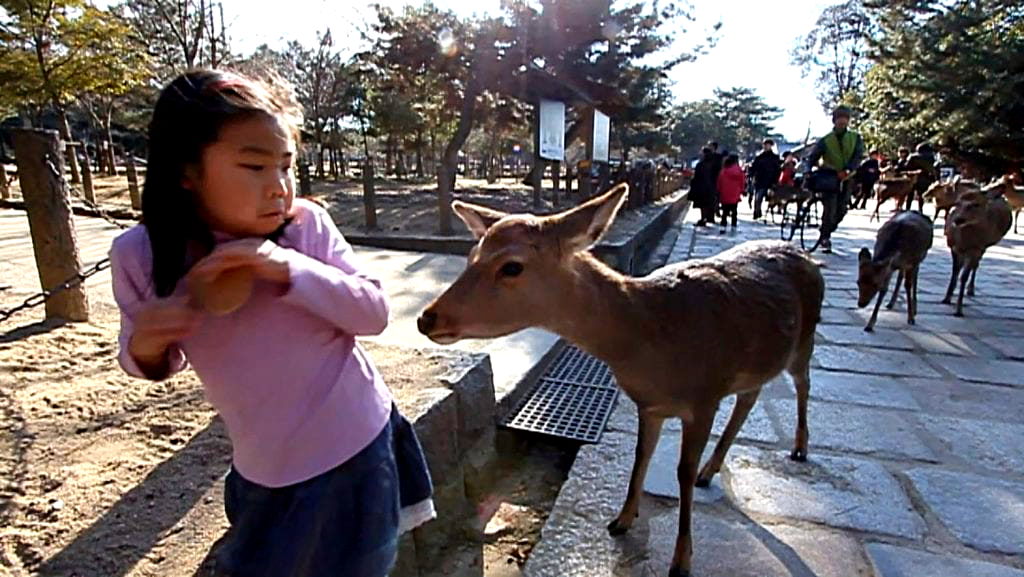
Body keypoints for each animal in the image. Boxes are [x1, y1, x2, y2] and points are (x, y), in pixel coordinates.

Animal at [415, 184, 823, 577]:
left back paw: (799, 448)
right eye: (471, 256)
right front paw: (621, 520)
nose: (426, 318)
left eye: (512, 266)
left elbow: (682, 472)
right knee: (751, 395)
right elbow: (641, 456)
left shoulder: (705, 398)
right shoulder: (650, 405)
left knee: (803, 383)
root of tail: (809, 258)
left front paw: (681, 561)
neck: (651, 339)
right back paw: (712, 471)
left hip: (805, 339)